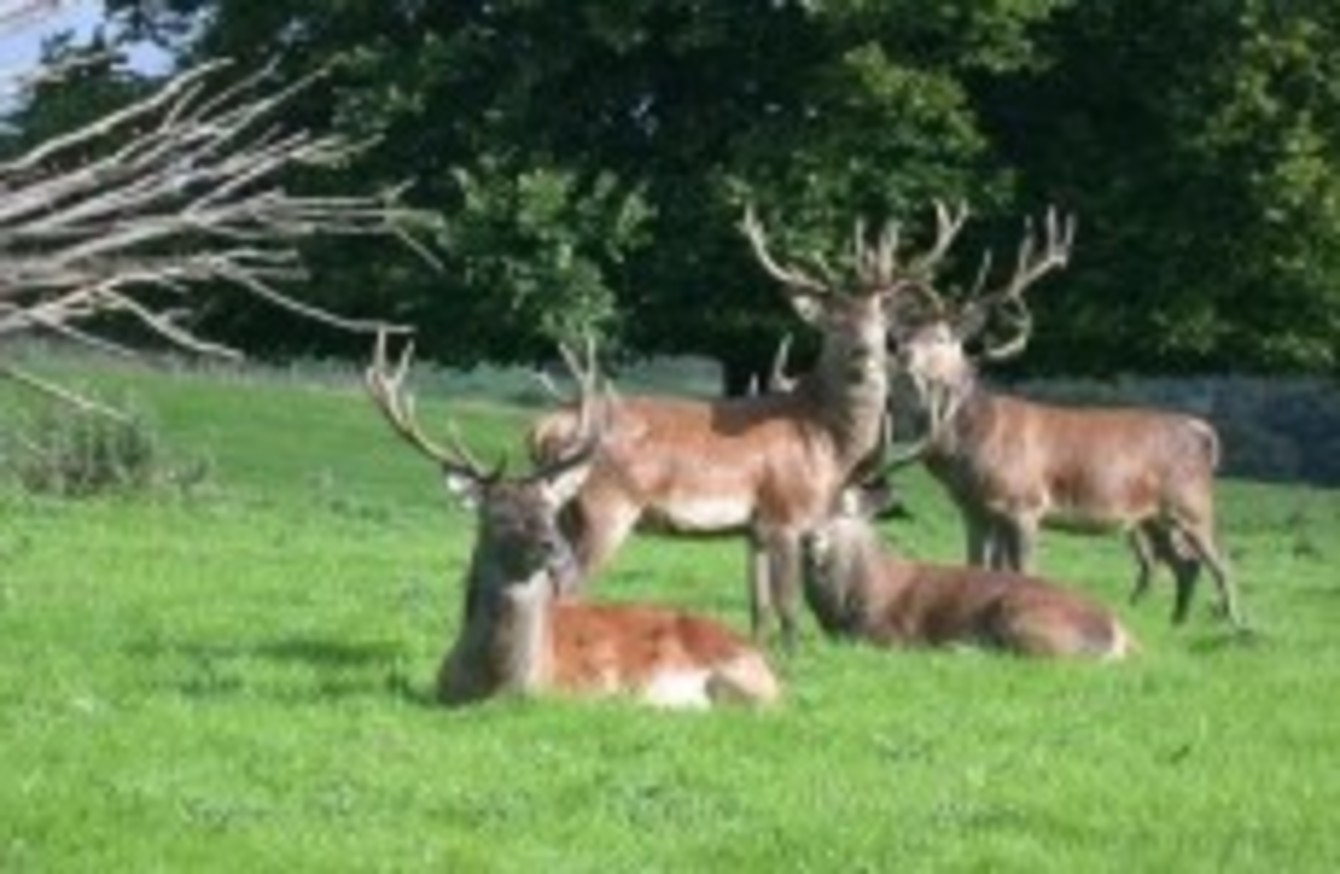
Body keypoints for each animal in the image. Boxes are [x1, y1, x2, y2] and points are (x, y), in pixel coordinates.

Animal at [367, 331, 782, 707]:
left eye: (549, 510)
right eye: (498, 513)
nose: (552, 546)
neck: (503, 686)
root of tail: (771, 672)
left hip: (732, 677)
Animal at [525, 201, 964, 646]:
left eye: (880, 320)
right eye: (834, 322)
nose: (864, 353)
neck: (824, 441)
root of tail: (545, 429)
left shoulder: (755, 530)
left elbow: (761, 608)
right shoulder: (785, 513)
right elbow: (788, 609)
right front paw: (792, 656)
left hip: (565, 511)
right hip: (605, 506)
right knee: (568, 587)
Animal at [798, 466, 1136, 659]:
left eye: (845, 510)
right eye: (804, 502)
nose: (809, 538)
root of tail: (1119, 634)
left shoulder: (890, 633)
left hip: (1024, 617)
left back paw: (956, 648)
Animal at [889, 206, 1243, 627]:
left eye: (942, 338)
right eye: (910, 332)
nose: (900, 351)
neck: (975, 447)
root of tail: (1202, 433)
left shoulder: (1025, 503)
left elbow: (1026, 571)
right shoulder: (976, 510)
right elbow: (975, 565)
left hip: (1193, 500)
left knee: (1221, 561)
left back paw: (1237, 624)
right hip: (1153, 516)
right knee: (1185, 564)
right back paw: (1177, 622)